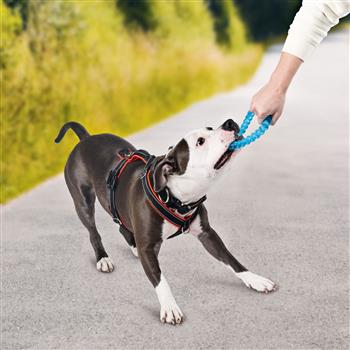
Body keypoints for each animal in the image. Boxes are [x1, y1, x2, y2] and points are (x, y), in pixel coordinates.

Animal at [55, 119, 276, 326]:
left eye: (210, 128)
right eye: (200, 142)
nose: (229, 122)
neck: (175, 197)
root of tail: (85, 139)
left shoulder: (207, 234)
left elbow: (231, 259)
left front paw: (255, 279)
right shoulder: (148, 247)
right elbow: (160, 279)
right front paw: (169, 307)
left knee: (122, 226)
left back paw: (131, 246)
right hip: (83, 203)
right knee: (93, 232)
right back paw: (103, 258)